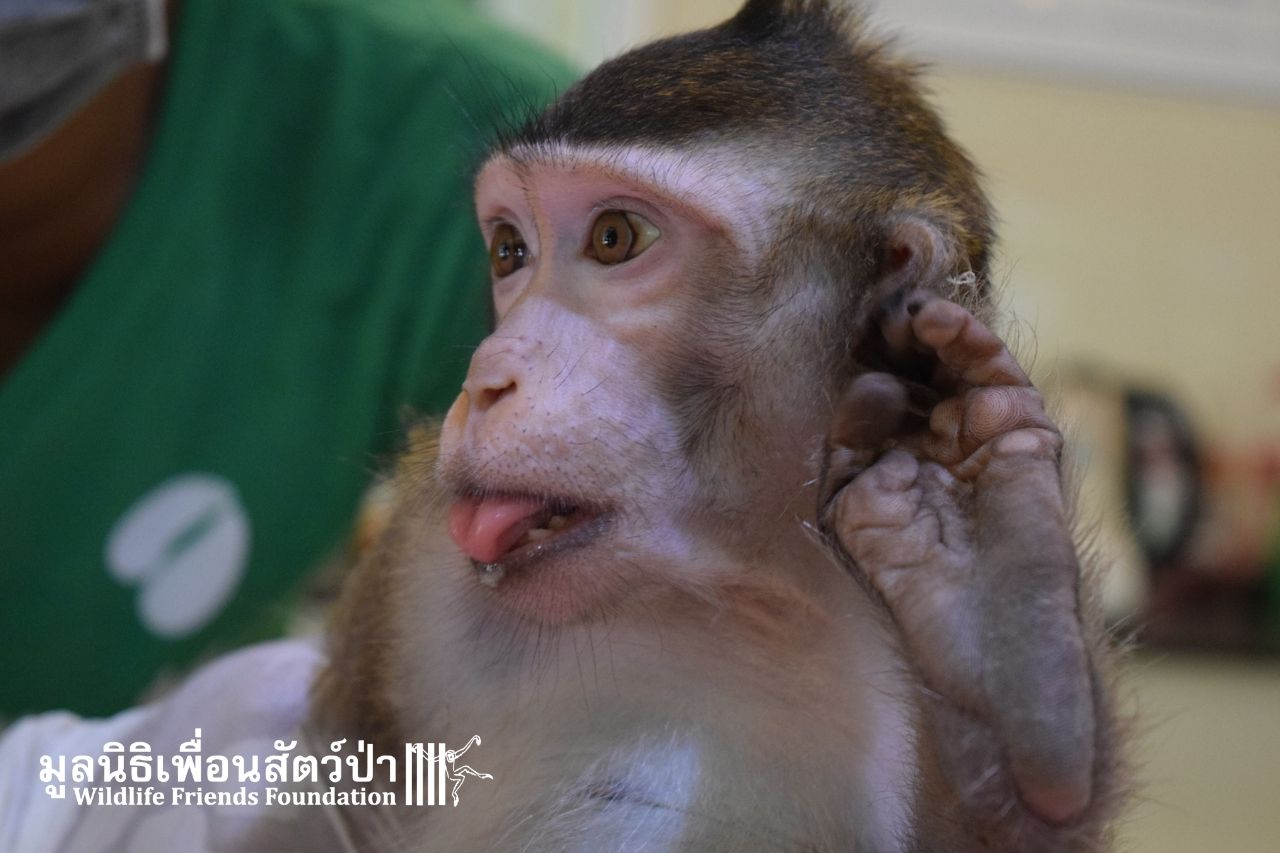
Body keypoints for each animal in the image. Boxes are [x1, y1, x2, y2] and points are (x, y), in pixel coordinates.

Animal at [306, 1, 1127, 850]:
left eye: (614, 237)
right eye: (508, 251)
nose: (484, 379)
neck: (738, 580)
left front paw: (987, 637)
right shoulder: (413, 564)